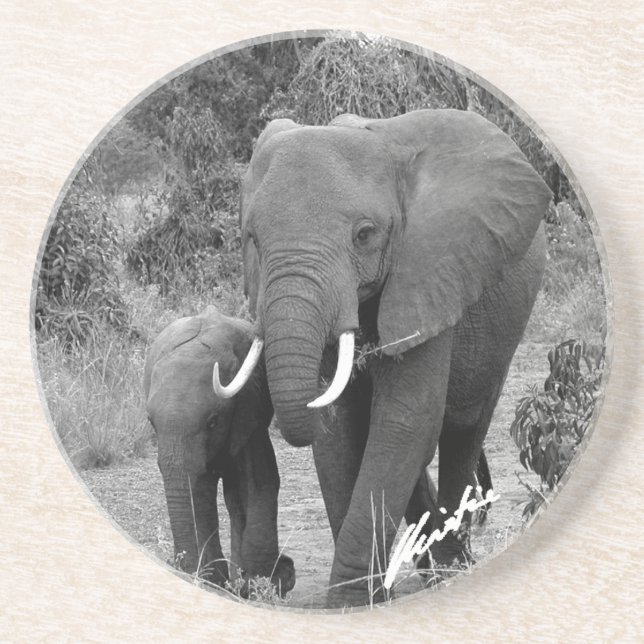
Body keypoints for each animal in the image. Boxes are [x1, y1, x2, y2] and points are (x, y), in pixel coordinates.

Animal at [144, 305, 295, 598]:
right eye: (151, 424)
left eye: (213, 422)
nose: (178, 566)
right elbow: (199, 488)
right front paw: (210, 579)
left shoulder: (248, 406)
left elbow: (259, 480)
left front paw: (265, 582)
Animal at [214, 108, 551, 607]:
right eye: (251, 239)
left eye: (364, 235)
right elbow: (340, 432)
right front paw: (360, 598)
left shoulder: (432, 269)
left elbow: (404, 420)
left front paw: (352, 601)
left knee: (463, 427)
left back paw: (450, 567)